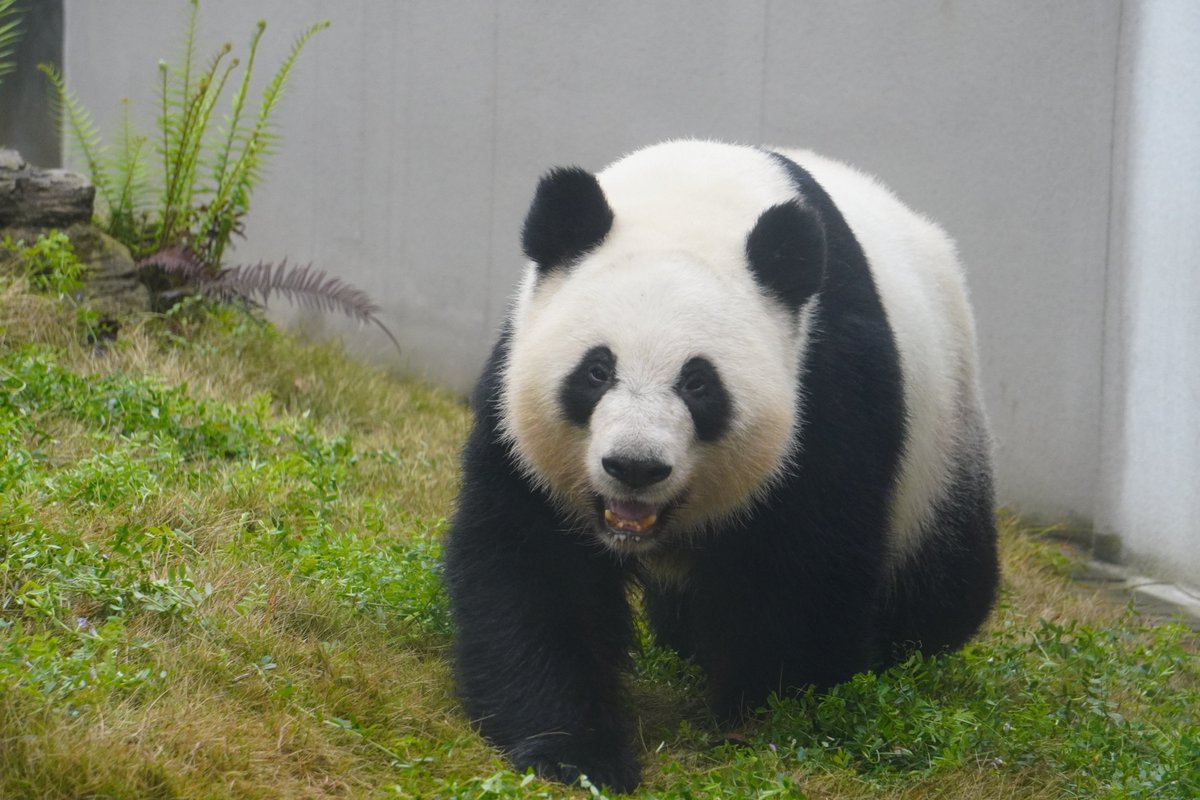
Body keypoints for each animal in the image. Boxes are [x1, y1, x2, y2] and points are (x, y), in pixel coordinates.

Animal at [444, 139, 999, 792]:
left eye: (699, 383)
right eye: (597, 370)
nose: (635, 466)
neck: (692, 202)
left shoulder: (828, 383)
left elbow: (801, 570)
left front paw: (760, 724)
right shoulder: (517, 397)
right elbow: (534, 566)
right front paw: (574, 754)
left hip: (942, 442)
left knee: (943, 582)